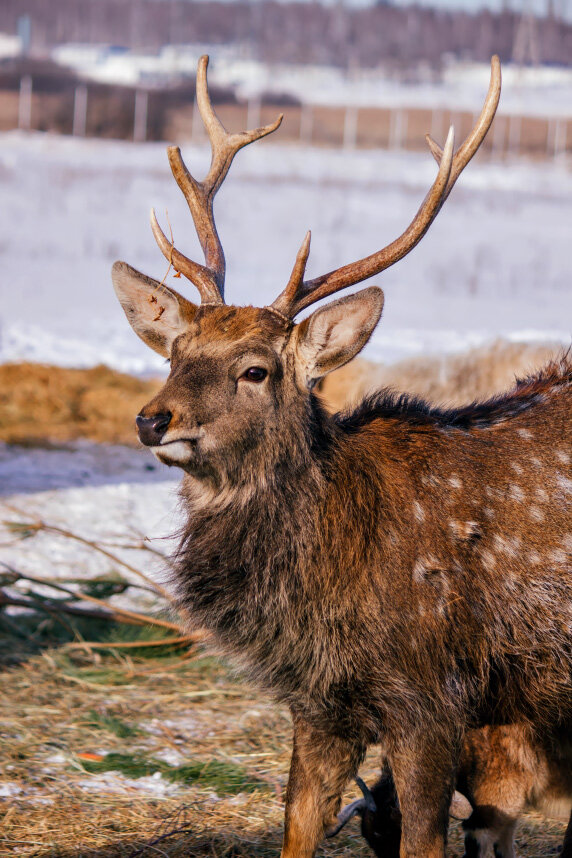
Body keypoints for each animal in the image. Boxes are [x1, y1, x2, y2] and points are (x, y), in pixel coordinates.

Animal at [111, 53, 572, 856]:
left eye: (255, 369)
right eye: (176, 352)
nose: (152, 419)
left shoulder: (433, 696)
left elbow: (422, 840)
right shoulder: (318, 699)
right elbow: (297, 825)